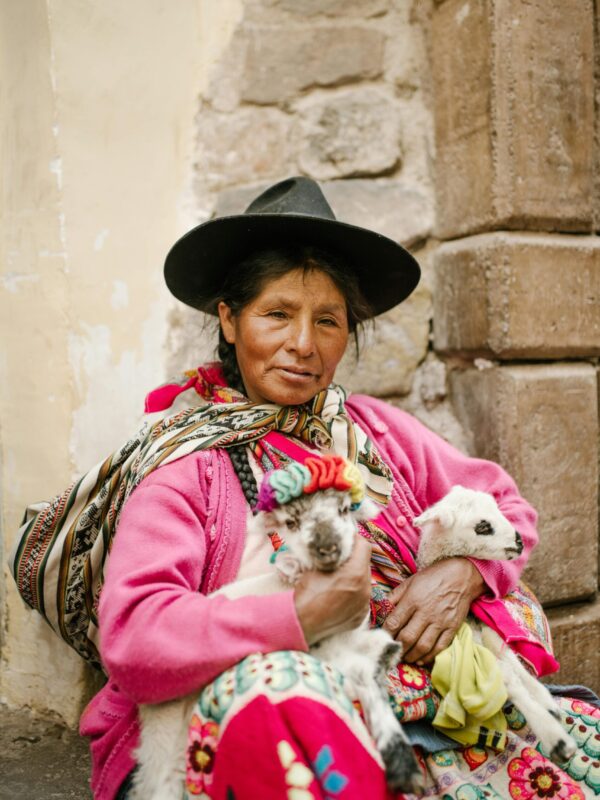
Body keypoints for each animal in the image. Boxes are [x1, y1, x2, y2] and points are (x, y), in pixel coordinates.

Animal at [131, 455, 424, 799]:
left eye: (343, 510)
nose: (327, 547)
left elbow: (375, 665)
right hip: (167, 729)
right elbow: (364, 675)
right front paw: (402, 765)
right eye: (291, 523)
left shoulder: (356, 643)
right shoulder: (331, 649)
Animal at [413, 485, 577, 765]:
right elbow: (509, 680)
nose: (519, 540)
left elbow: (515, 665)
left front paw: (547, 704)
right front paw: (557, 740)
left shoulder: (488, 633)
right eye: (482, 527)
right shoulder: (475, 644)